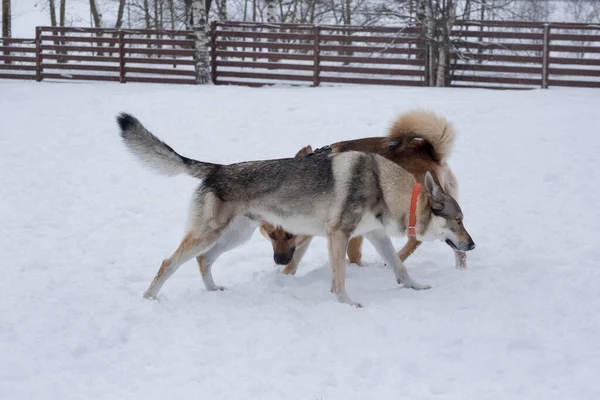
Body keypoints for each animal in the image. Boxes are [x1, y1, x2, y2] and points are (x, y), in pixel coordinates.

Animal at [260, 108, 466, 274]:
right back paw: (460, 269)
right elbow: (299, 253)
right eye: (272, 235)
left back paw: (395, 260)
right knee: (456, 242)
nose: (279, 261)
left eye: (288, 235)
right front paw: (285, 275)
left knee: (416, 239)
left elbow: (352, 252)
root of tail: (427, 151)